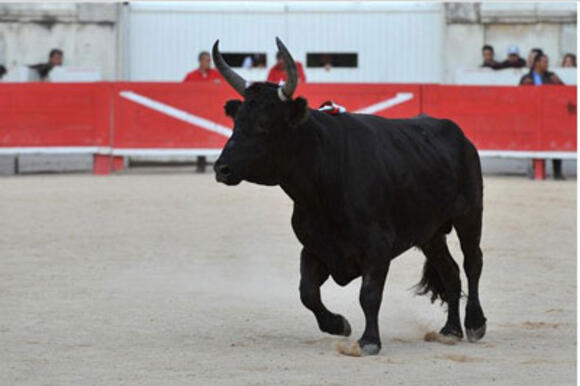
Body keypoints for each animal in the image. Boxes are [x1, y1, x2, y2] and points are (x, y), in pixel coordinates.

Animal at [212, 39, 484, 356]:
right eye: (237, 122)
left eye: (265, 124)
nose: (222, 168)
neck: (323, 184)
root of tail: (459, 136)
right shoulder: (316, 247)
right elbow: (307, 292)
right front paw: (338, 324)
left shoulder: (378, 248)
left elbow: (369, 295)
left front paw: (369, 341)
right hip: (429, 233)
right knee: (450, 271)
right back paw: (450, 330)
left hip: (469, 214)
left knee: (472, 262)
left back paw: (475, 324)